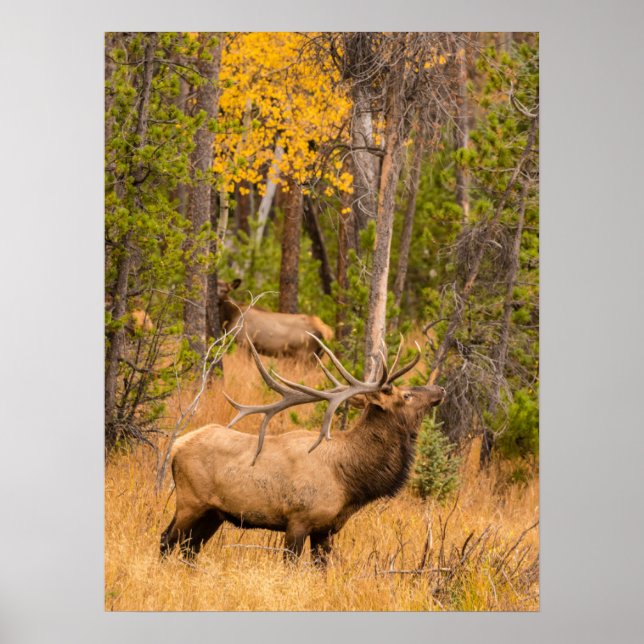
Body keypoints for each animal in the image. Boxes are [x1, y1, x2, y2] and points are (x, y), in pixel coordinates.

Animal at [160, 335, 446, 566]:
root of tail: (176, 446)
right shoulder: (298, 519)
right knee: (167, 539)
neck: (349, 481)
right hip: (190, 501)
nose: (440, 388)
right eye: (407, 395)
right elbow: (291, 565)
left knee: (190, 549)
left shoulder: (326, 529)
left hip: (214, 513)